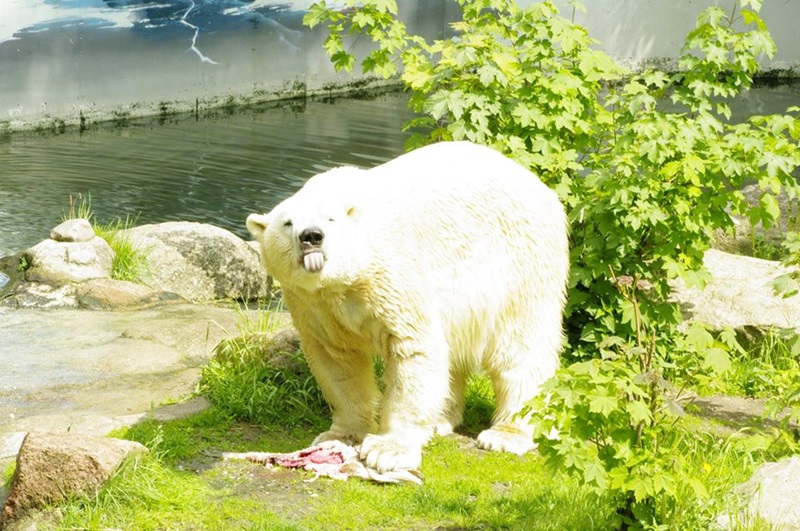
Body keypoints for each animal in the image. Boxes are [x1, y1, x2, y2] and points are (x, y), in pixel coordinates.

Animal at [248, 141, 568, 474]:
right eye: (287, 223)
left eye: (330, 220)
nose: (311, 236)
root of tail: (540, 186)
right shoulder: (313, 303)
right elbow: (336, 360)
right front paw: (341, 434)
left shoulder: (391, 278)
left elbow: (413, 349)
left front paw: (388, 451)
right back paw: (440, 420)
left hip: (522, 262)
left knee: (520, 348)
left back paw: (507, 434)